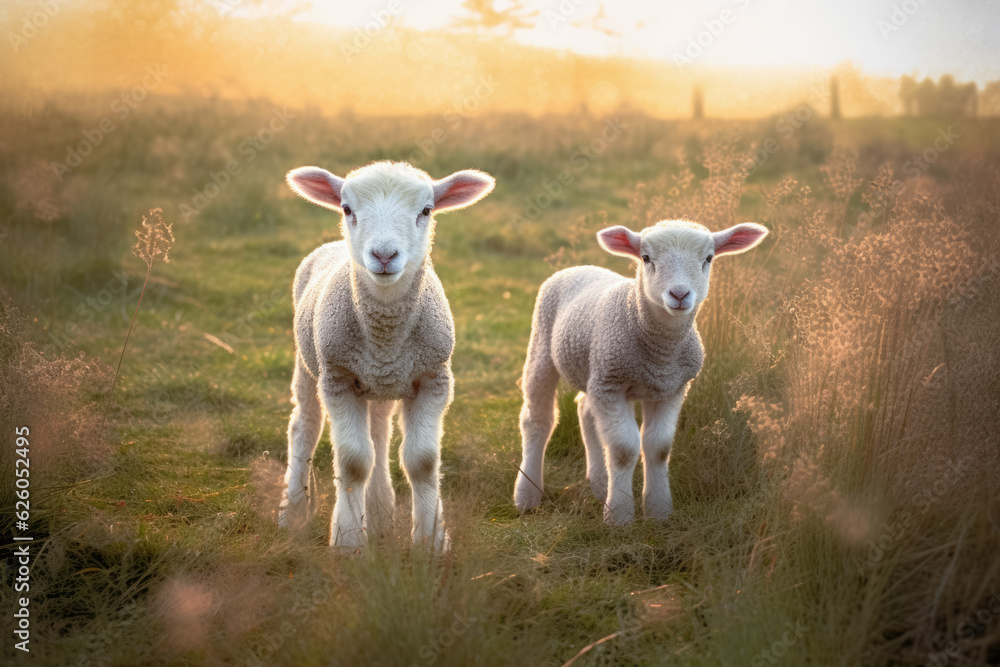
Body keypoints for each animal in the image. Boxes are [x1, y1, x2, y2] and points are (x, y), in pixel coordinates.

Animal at [280, 160, 495, 550]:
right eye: (346, 208)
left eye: (426, 211)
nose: (383, 256)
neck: (386, 337)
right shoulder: (337, 377)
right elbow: (353, 462)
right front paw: (348, 542)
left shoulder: (434, 377)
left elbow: (422, 462)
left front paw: (430, 542)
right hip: (308, 362)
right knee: (304, 427)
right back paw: (292, 514)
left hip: (378, 385)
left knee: (379, 434)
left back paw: (380, 516)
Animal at [513, 219, 768, 526]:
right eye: (646, 258)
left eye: (708, 258)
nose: (680, 295)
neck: (660, 353)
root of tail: (580, 267)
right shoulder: (612, 384)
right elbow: (624, 450)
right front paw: (620, 516)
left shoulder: (670, 387)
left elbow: (659, 447)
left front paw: (658, 511)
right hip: (543, 345)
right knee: (537, 420)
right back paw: (527, 495)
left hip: (594, 370)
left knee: (585, 410)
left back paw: (600, 484)